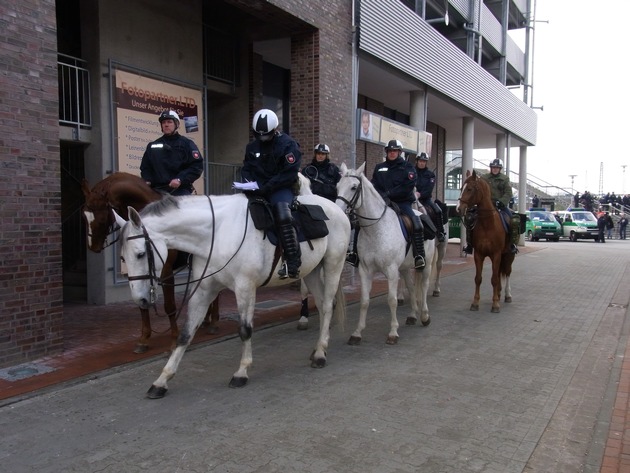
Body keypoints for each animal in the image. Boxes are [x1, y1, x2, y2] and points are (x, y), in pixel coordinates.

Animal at [81, 171, 221, 352]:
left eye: (103, 217)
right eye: (84, 215)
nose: (93, 246)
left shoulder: (166, 270)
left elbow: (169, 306)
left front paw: (173, 339)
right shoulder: (137, 271)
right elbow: (142, 304)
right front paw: (144, 339)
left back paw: (214, 322)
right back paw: (206, 320)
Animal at [118, 190, 354, 396]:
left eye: (140, 254)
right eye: (122, 258)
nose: (141, 299)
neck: (216, 234)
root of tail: (336, 208)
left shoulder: (244, 288)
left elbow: (245, 329)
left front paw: (241, 372)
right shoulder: (203, 290)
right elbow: (185, 334)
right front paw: (162, 380)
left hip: (333, 265)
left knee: (327, 306)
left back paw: (321, 354)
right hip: (311, 272)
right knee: (323, 305)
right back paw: (318, 348)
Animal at [338, 162, 436, 342]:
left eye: (354, 187)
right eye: (338, 186)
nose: (339, 210)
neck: (376, 230)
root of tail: (420, 213)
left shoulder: (391, 270)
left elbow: (392, 300)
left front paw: (393, 332)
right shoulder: (365, 270)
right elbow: (364, 300)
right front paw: (357, 333)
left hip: (426, 265)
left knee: (424, 286)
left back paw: (425, 316)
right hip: (404, 267)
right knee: (411, 287)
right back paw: (412, 315)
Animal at [456, 171, 516, 312]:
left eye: (469, 189)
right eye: (461, 188)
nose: (458, 209)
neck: (487, 224)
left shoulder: (496, 254)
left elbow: (494, 279)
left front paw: (495, 305)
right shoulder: (479, 255)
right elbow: (478, 279)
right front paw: (475, 303)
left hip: (508, 255)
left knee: (507, 272)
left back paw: (507, 295)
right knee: (499, 273)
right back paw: (498, 294)